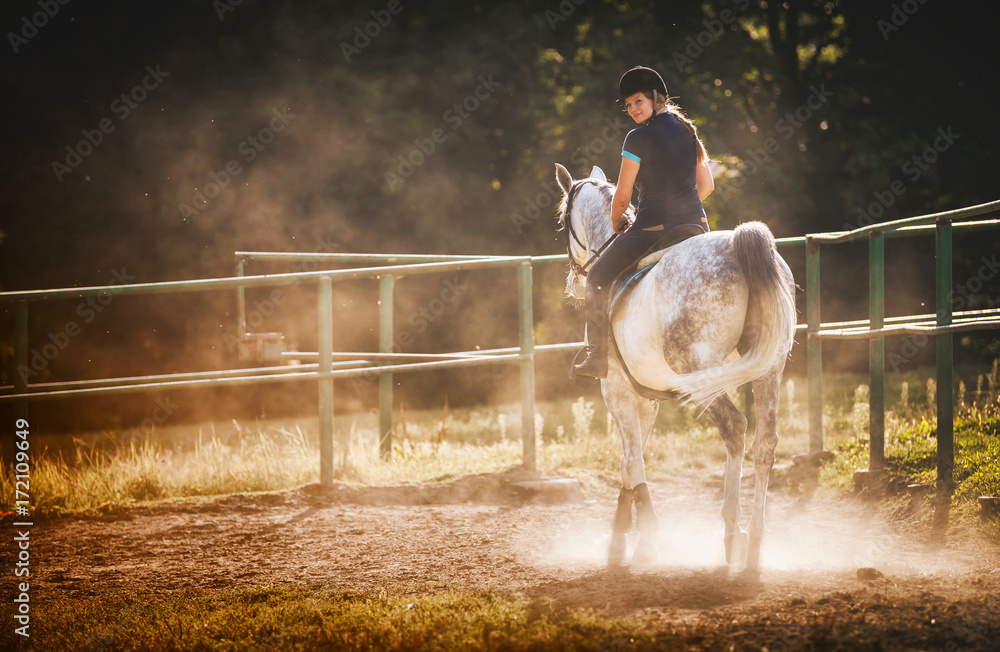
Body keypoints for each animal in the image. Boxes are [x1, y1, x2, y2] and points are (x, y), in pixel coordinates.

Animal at [556, 166, 796, 572]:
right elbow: (629, 460)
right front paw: (627, 538)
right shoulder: (646, 398)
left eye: (561, 220)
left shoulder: (616, 390)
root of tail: (737, 242)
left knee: (734, 428)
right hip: (768, 369)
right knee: (765, 442)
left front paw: (637, 539)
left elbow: (632, 460)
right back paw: (755, 544)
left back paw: (732, 532)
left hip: (700, 371)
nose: (574, 281)